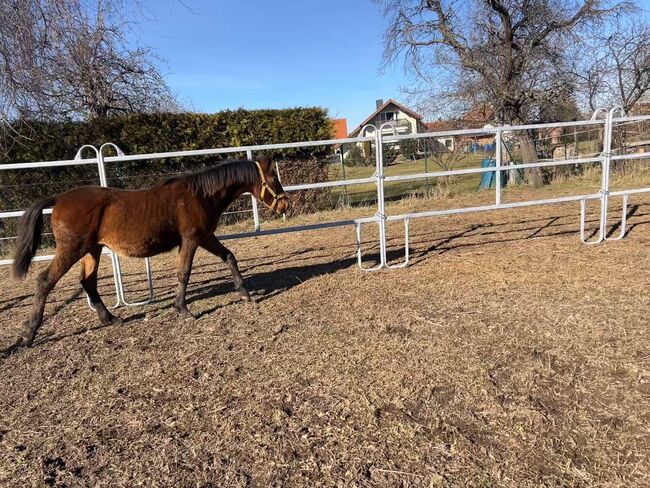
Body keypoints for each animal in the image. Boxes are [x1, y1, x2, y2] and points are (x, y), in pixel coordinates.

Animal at [8, 154, 288, 348]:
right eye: (274, 179)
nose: (284, 205)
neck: (199, 195)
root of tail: (58, 198)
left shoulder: (206, 237)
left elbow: (229, 256)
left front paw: (244, 293)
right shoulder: (191, 240)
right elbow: (184, 272)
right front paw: (182, 309)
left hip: (93, 250)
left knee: (88, 282)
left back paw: (110, 318)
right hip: (72, 249)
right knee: (45, 281)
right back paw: (29, 333)